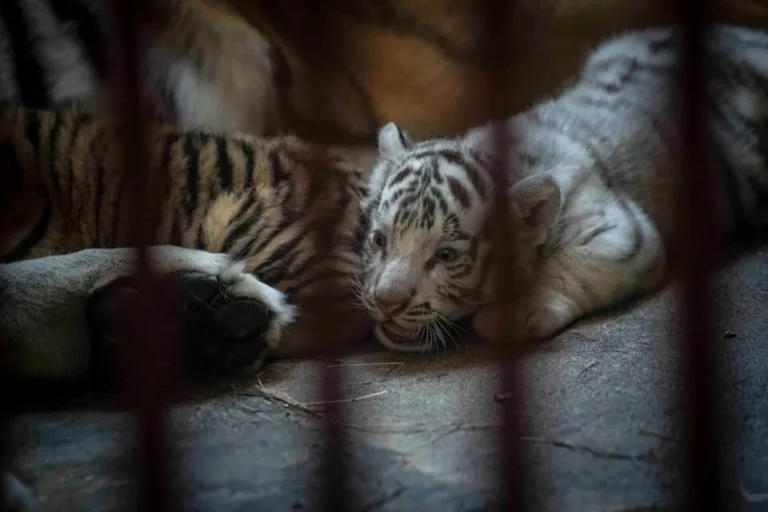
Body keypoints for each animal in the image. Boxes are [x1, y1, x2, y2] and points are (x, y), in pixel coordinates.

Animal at [356, 23, 768, 352]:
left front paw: (512, 314)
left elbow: (569, 264)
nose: (387, 302)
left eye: (446, 255)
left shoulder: (622, 229)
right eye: (379, 240)